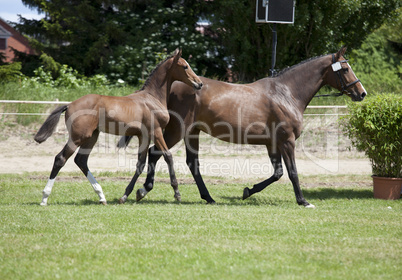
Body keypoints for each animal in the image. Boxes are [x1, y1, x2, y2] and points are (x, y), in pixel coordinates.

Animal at [34, 48, 203, 206]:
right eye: (185, 66)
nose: (199, 83)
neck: (152, 97)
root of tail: (69, 105)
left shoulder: (143, 135)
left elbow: (140, 164)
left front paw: (126, 195)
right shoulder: (156, 132)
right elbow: (168, 156)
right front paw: (177, 193)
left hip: (92, 136)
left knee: (81, 160)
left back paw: (101, 197)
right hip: (78, 137)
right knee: (60, 159)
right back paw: (44, 198)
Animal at [118, 46, 364, 208]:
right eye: (344, 69)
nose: (361, 93)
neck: (286, 93)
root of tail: (173, 86)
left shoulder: (273, 143)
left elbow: (277, 173)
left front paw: (247, 191)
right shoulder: (287, 140)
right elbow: (292, 172)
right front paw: (303, 201)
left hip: (191, 132)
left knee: (188, 162)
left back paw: (206, 197)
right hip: (177, 131)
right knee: (156, 153)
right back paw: (143, 190)